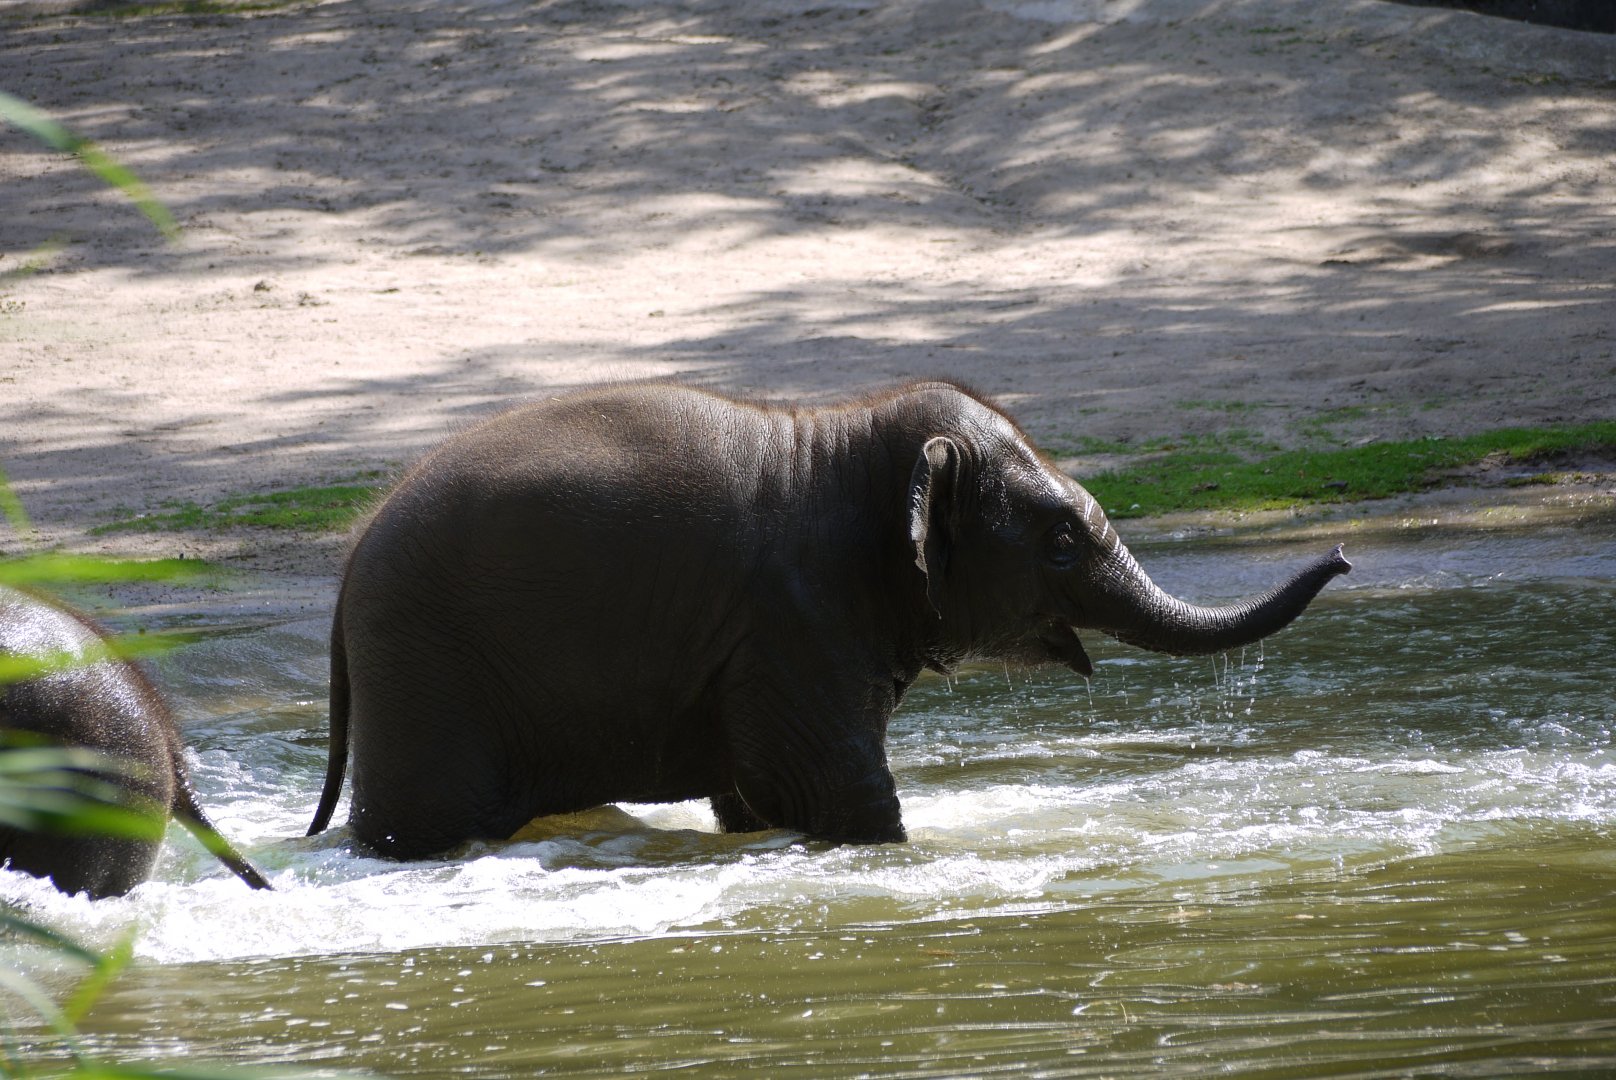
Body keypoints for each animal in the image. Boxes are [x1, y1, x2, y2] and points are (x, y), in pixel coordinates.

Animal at [307, 381, 1349, 858]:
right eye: (1059, 541)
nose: (1343, 556)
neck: (849, 432)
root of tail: (348, 565)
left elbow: (756, 797)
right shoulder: (793, 620)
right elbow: (836, 792)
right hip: (426, 669)